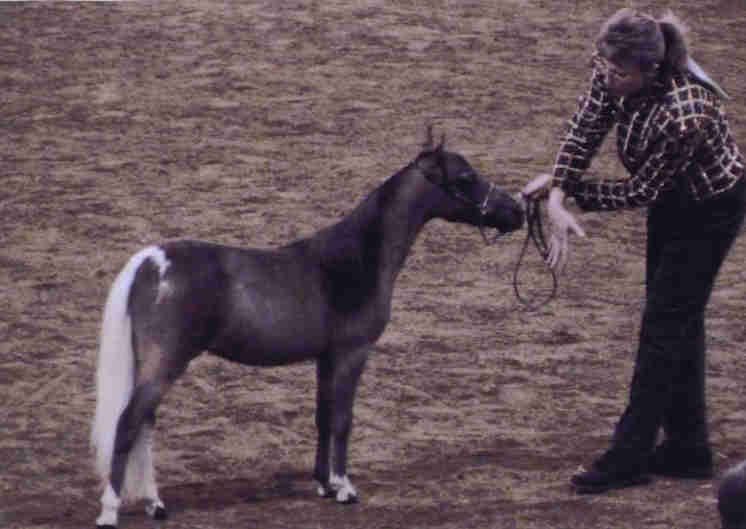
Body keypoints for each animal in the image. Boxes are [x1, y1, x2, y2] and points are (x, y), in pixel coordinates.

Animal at [90, 131, 524, 528]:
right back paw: (111, 512)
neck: (356, 259)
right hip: (166, 362)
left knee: (144, 425)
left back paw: (155, 504)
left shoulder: (326, 358)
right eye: (466, 177)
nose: (516, 211)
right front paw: (345, 488)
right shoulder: (352, 354)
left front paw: (324, 484)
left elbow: (323, 416)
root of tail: (151, 259)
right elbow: (343, 419)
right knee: (128, 424)